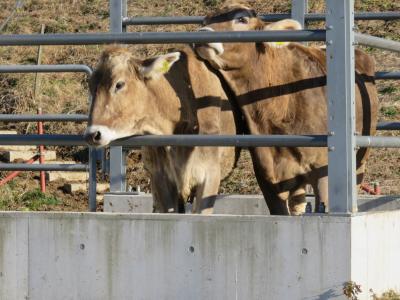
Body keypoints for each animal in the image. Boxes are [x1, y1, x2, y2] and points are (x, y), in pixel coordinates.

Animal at [194, 1, 378, 213]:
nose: (202, 33)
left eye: (241, 18)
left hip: (361, 159)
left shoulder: (323, 172)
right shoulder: (268, 177)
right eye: (205, 21)